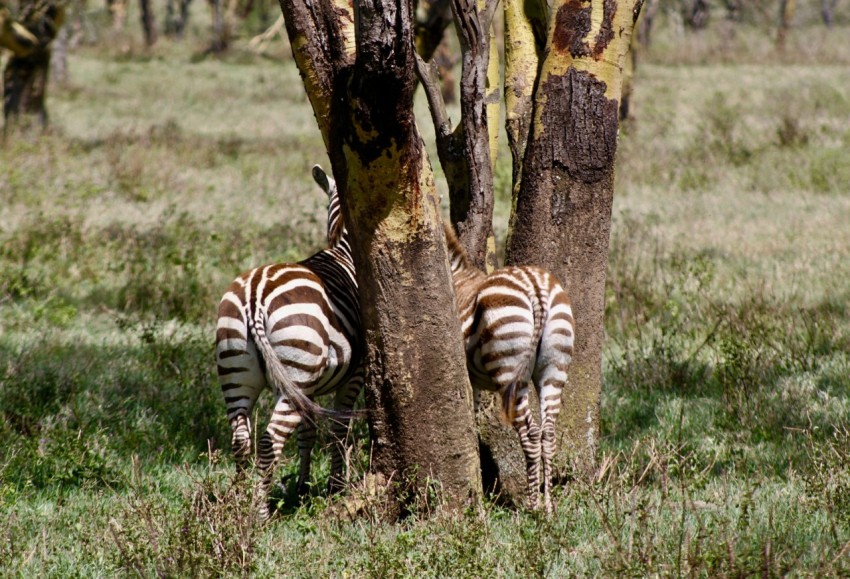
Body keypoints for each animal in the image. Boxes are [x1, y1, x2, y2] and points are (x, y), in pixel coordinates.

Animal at [215, 165, 363, 520]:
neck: (345, 252)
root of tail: (255, 297)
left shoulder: (309, 389)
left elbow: (308, 433)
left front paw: (304, 486)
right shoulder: (355, 375)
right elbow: (339, 430)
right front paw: (336, 486)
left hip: (236, 368)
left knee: (240, 439)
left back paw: (238, 504)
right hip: (295, 369)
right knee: (270, 440)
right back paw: (259, 513)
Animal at [444, 224, 575, 513]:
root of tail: (536, 287)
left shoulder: (470, 378)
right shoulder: (474, 381)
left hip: (509, 370)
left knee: (531, 434)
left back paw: (532, 505)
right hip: (554, 366)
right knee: (548, 433)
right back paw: (548, 506)